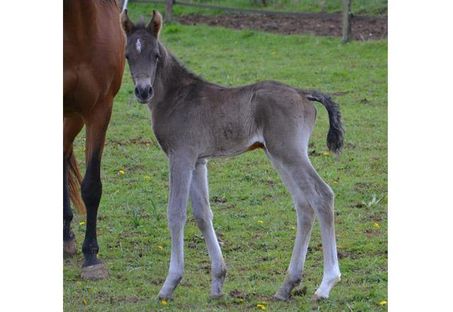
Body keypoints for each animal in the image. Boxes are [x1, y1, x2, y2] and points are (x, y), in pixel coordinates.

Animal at [120, 11, 342, 302]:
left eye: (155, 55)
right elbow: (203, 214)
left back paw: (326, 284)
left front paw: (170, 284)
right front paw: (217, 282)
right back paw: (287, 286)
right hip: (279, 156)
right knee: (304, 205)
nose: (143, 91)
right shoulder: (198, 161)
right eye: (127, 55)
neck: (177, 97)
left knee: (322, 196)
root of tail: (302, 93)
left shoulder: (180, 156)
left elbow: (176, 213)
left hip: (290, 153)